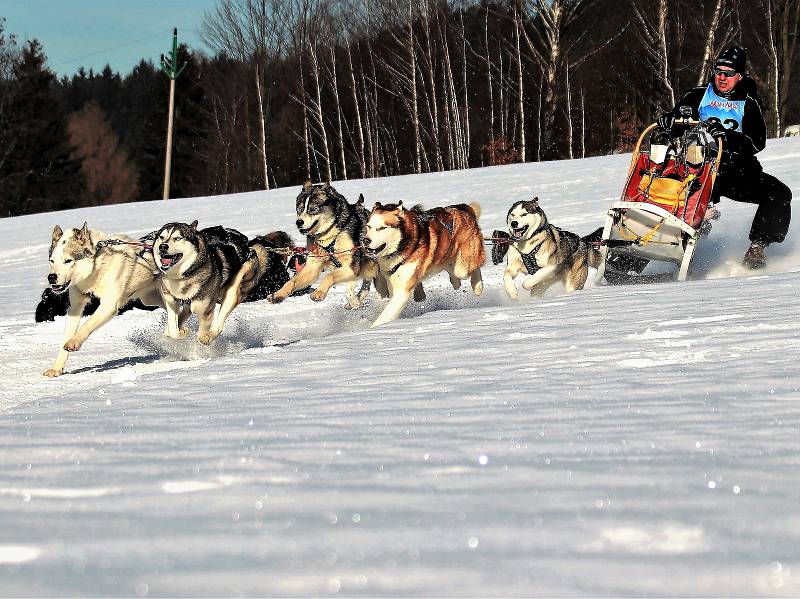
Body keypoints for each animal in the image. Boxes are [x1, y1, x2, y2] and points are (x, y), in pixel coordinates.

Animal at [43, 223, 165, 378]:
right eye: (52, 261)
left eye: (68, 260)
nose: (51, 277)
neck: (96, 268)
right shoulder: (75, 307)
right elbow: (66, 336)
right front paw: (57, 368)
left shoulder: (109, 305)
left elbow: (87, 324)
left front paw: (75, 342)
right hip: (149, 298)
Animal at [155, 220, 292, 344]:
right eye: (161, 237)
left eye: (178, 238)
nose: (163, 246)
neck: (184, 276)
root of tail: (248, 246)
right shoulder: (171, 302)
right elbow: (173, 329)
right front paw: (180, 331)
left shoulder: (205, 308)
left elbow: (202, 330)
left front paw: (202, 337)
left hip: (233, 291)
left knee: (219, 323)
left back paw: (211, 334)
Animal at [268, 180, 390, 308]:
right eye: (300, 209)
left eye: (313, 209)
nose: (299, 222)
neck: (331, 234)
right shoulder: (313, 266)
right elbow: (292, 281)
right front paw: (278, 294)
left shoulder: (351, 266)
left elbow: (330, 276)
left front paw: (319, 292)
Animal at [364, 200, 488, 328]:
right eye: (369, 226)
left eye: (382, 228)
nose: (365, 240)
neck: (401, 247)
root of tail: (464, 208)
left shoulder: (402, 291)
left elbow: (386, 315)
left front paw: (373, 328)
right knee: (451, 268)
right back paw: (456, 282)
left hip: (464, 265)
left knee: (473, 267)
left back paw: (477, 286)